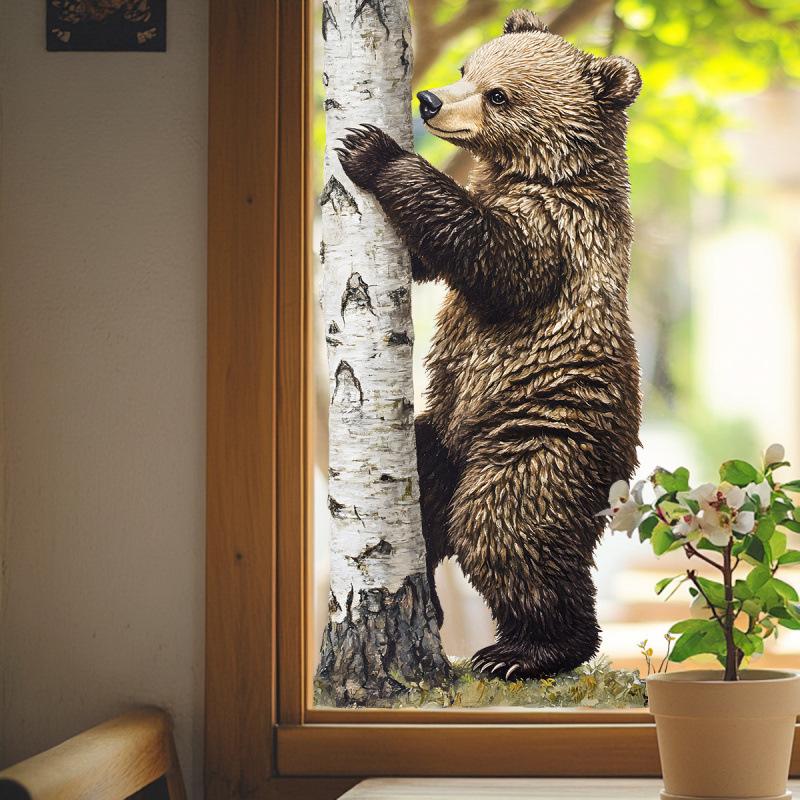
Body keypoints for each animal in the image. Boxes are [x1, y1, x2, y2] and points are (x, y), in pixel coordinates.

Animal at [336, 8, 642, 680]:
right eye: (464, 66)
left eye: (499, 95)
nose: (428, 100)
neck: (533, 171)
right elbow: (429, 258)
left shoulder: (559, 228)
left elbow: (492, 259)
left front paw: (371, 149)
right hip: (446, 426)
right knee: (425, 489)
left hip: (541, 435)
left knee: (502, 525)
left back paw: (528, 650)